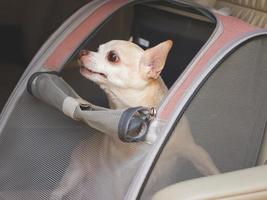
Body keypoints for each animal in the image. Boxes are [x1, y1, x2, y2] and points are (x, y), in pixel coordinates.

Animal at [51, 39, 221, 199]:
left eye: (112, 57)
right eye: (98, 49)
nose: (82, 52)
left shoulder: (194, 151)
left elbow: (212, 171)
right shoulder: (120, 177)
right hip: (74, 174)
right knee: (58, 192)